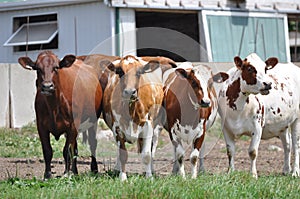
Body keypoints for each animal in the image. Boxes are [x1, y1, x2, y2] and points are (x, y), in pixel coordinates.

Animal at [18, 51, 103, 179]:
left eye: (56, 67)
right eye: (38, 68)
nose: (47, 86)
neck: (54, 105)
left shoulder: (73, 125)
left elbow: (67, 150)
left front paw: (66, 173)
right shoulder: (41, 126)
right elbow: (47, 150)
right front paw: (47, 175)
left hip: (92, 121)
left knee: (92, 143)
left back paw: (94, 169)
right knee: (75, 149)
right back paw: (75, 172)